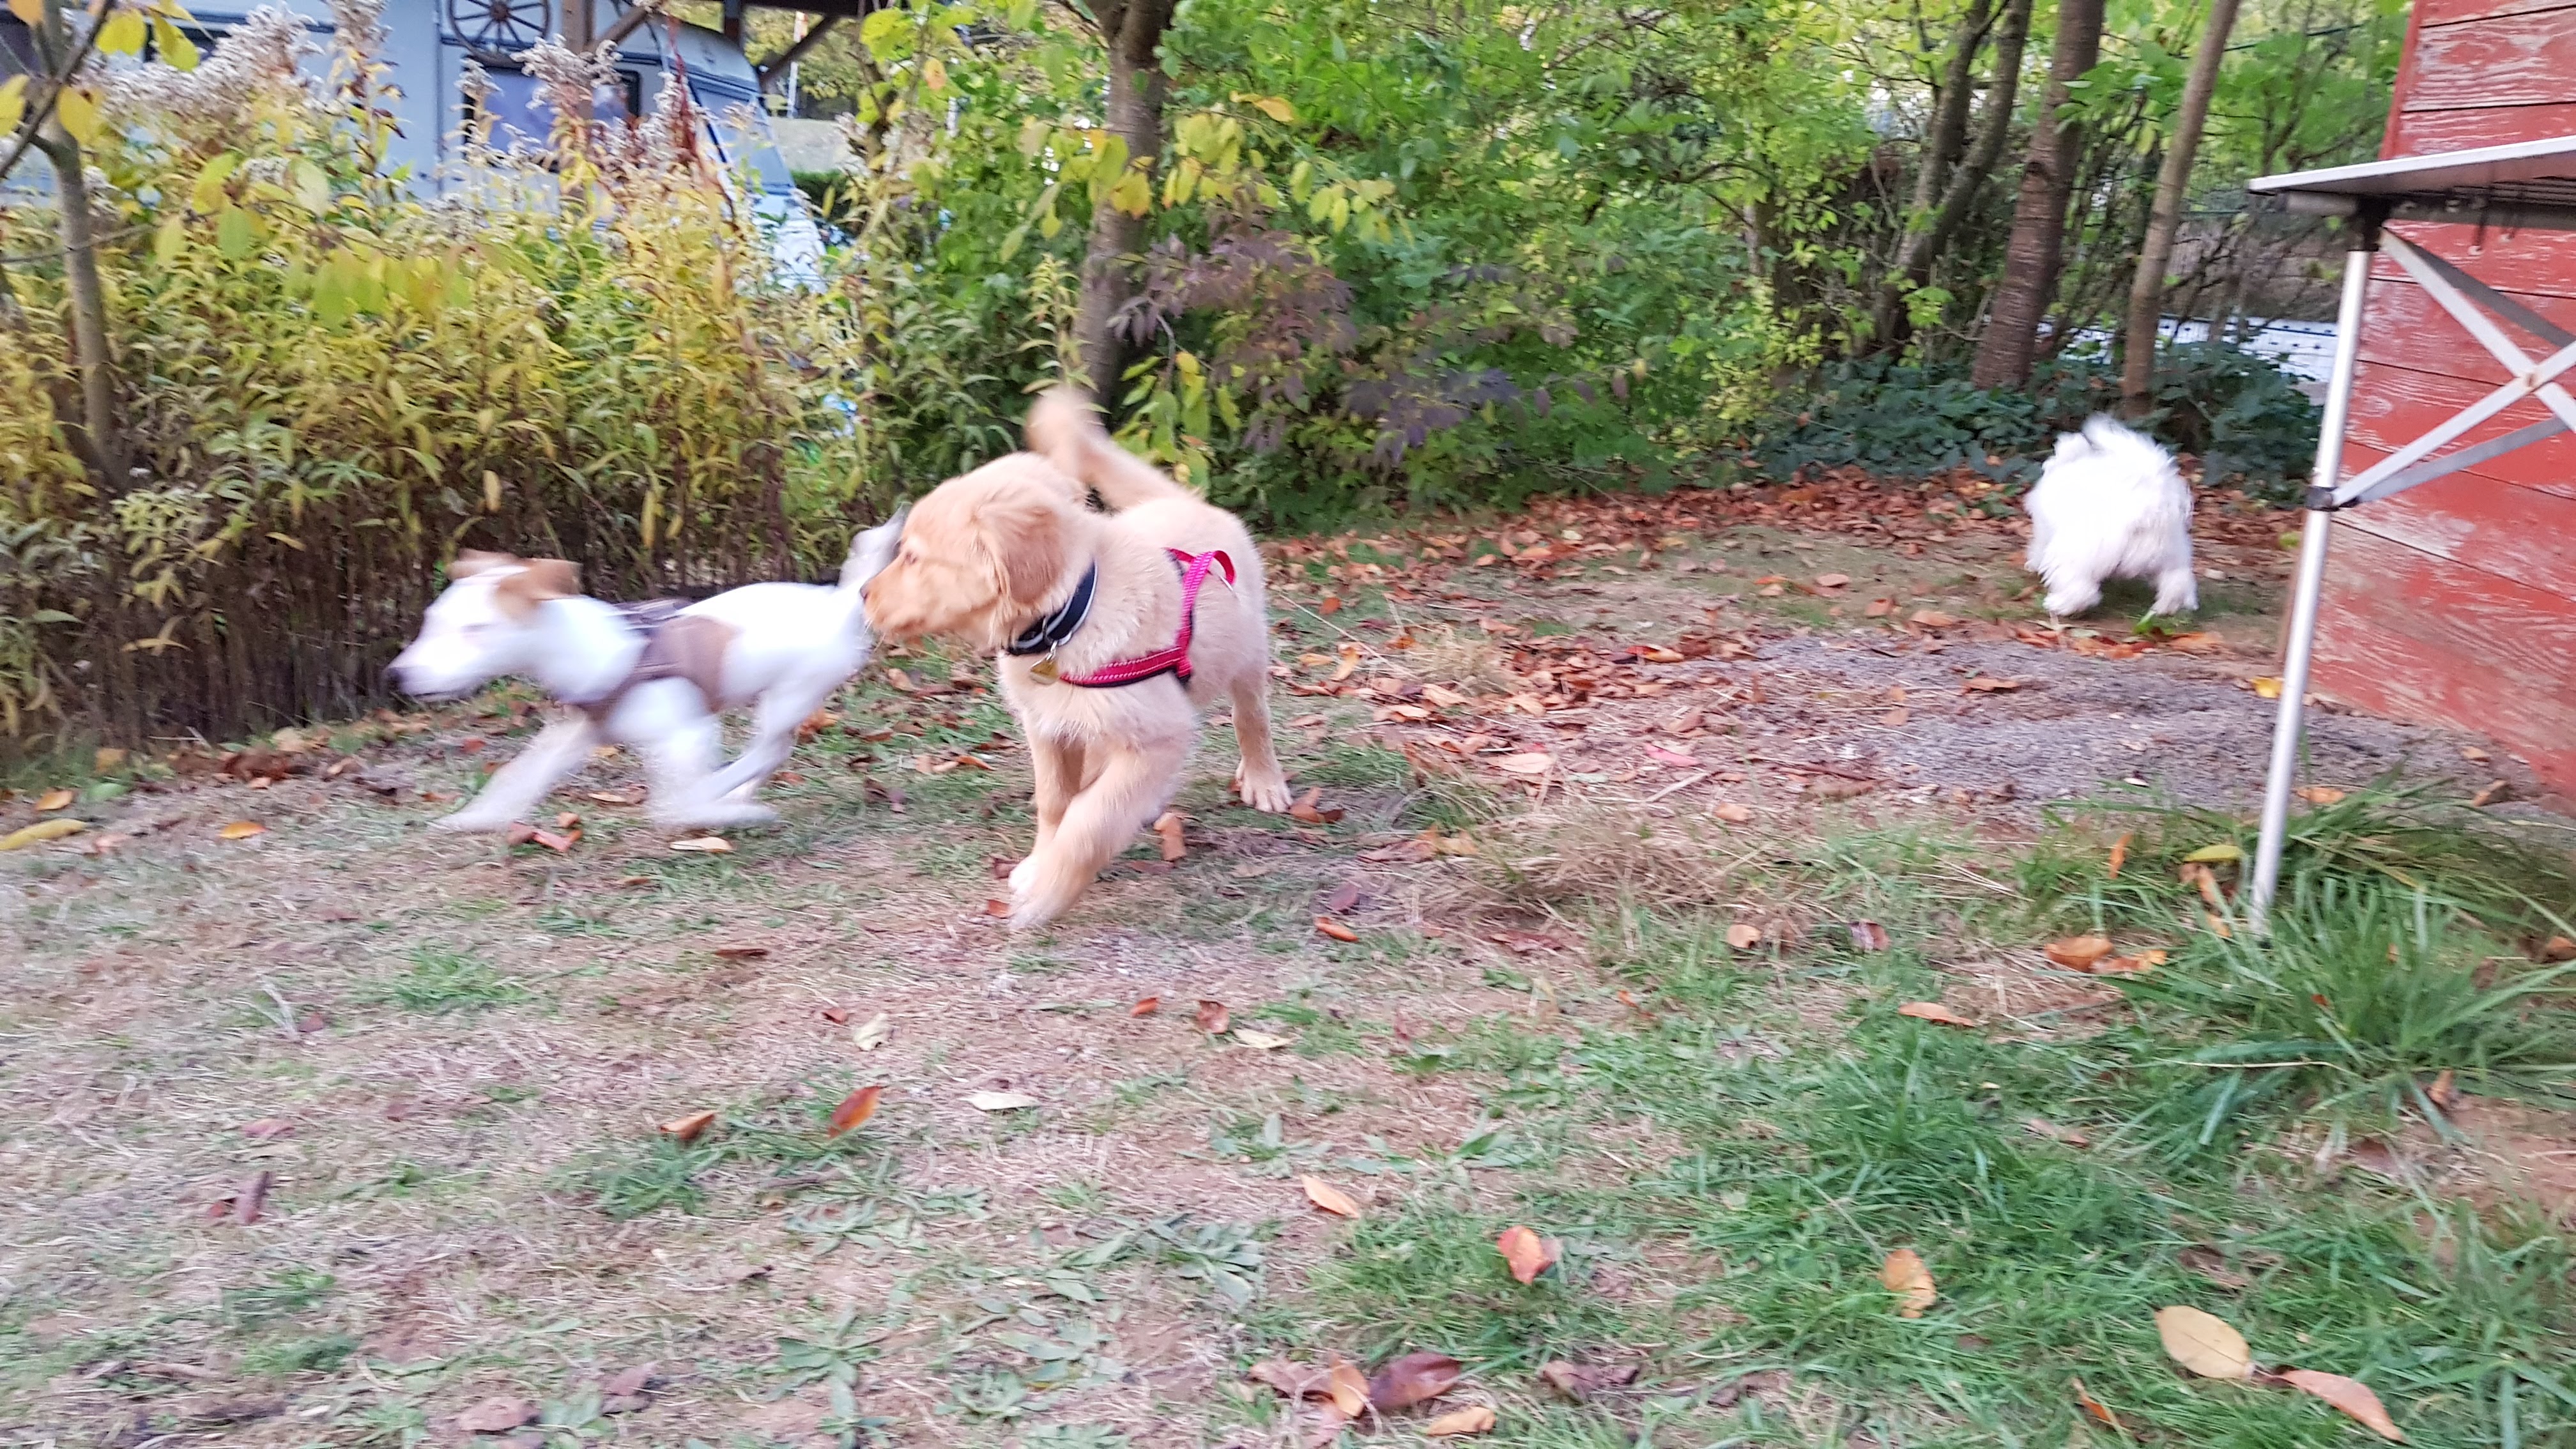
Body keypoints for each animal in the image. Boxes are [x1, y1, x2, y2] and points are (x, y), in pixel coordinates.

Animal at [390, 513, 905, 834]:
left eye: (476, 630)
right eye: (431, 621)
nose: (398, 676)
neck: (602, 649)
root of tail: (841, 600)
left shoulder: (688, 735)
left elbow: (670, 806)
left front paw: (706, 810)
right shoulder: (576, 732)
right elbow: (518, 776)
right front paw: (474, 818)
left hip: (790, 694)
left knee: (768, 750)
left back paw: (726, 801)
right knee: (769, 754)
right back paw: (735, 798)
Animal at [862, 389, 1293, 928]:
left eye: (914, 558)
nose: (862, 594)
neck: (1069, 617)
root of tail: (1181, 501)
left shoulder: (1160, 736)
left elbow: (1093, 822)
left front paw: (1049, 889)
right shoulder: (1047, 725)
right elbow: (1056, 802)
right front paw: (1041, 861)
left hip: (1248, 649)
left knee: (1250, 715)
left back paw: (1262, 779)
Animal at [2023, 415, 2199, 620]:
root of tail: (2151, 506)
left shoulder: (2044, 531)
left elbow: (2038, 548)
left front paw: (2033, 564)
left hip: (2076, 552)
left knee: (2081, 589)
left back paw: (2061, 604)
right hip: (2170, 556)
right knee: (2178, 581)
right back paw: (2168, 607)